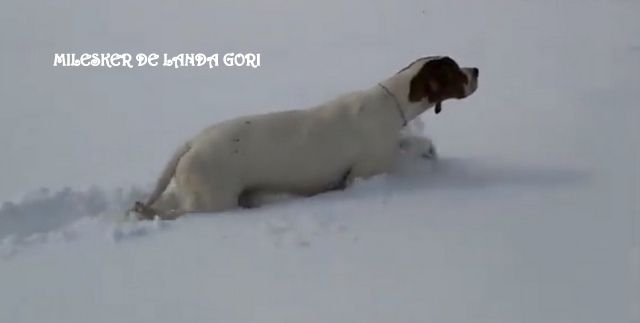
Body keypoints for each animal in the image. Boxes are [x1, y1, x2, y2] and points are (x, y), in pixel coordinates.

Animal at [134, 56, 476, 220]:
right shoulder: (367, 172)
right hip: (213, 201)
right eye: (455, 70)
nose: (476, 70)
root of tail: (193, 142)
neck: (390, 104)